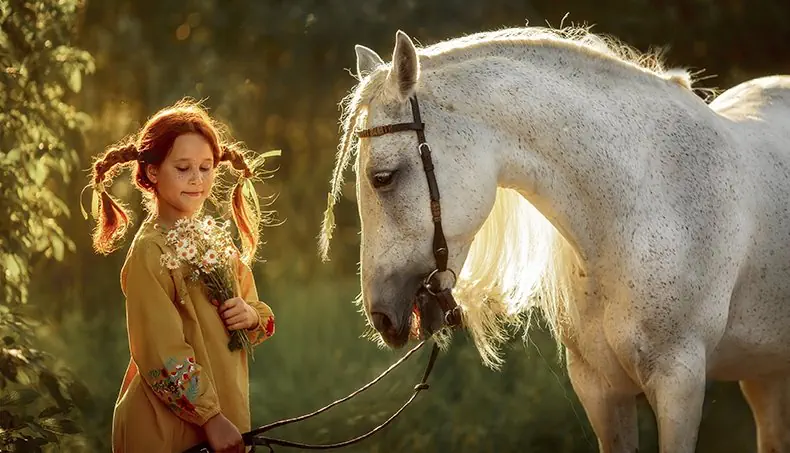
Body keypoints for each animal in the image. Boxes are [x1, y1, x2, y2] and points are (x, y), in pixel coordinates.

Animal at [318, 24, 790, 453]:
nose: (381, 317)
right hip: (764, 375)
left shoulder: (680, 381)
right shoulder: (599, 388)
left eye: (383, 178)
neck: (646, 201)